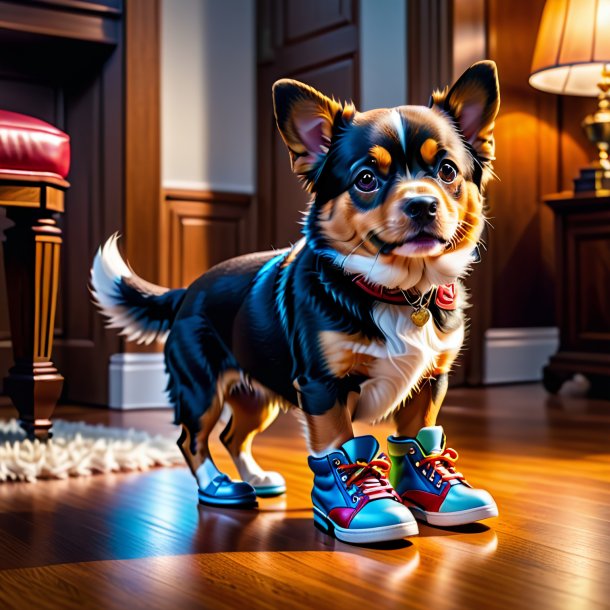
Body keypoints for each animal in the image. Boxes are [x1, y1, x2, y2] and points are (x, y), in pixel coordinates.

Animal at [90, 58, 498, 540]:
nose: (422, 205)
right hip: (201, 389)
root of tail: (187, 291)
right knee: (192, 440)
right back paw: (219, 487)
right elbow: (340, 445)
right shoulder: (324, 387)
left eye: (447, 171)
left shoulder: (431, 381)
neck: (398, 291)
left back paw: (257, 478)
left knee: (233, 436)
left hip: (255, 396)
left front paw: (438, 493)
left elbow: (418, 437)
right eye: (366, 179)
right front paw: (360, 506)